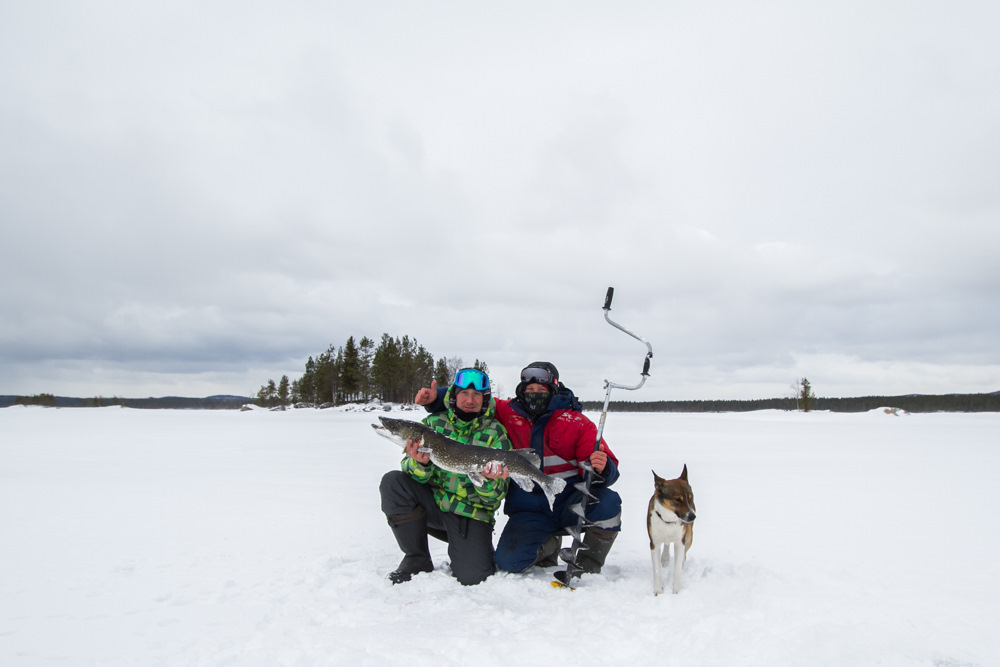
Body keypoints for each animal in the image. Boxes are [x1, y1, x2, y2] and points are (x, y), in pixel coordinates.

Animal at [648, 464, 696, 596]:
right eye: (677, 499)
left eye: (690, 498)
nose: (692, 516)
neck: (668, 521)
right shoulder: (654, 542)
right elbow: (657, 569)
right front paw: (658, 590)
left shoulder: (680, 541)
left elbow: (677, 568)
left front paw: (676, 590)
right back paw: (665, 558)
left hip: (689, 535)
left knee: (684, 553)